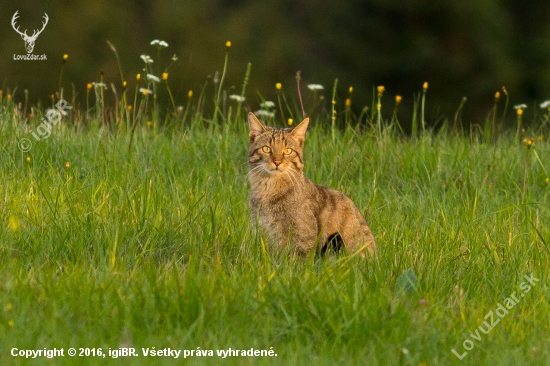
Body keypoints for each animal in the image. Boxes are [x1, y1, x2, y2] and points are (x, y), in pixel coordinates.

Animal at [248, 112, 378, 258]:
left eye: (287, 151)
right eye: (266, 149)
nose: (277, 162)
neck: (269, 188)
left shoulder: (302, 240)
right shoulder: (262, 232)